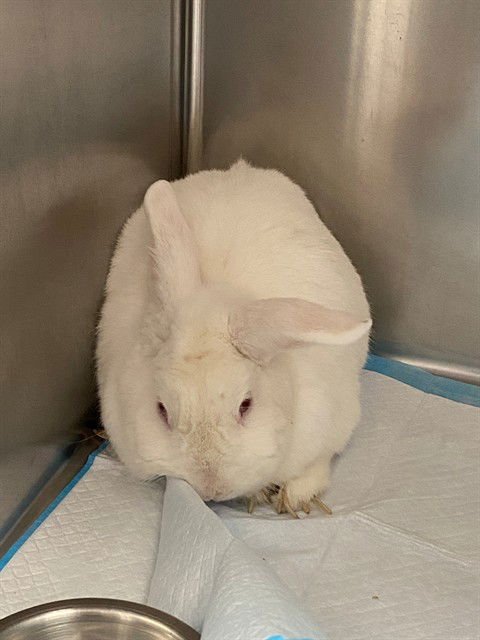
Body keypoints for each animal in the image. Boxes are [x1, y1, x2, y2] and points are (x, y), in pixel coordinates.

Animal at [96, 159, 371, 514]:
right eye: (161, 410)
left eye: (246, 405)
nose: (211, 489)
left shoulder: (331, 426)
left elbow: (317, 467)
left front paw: (293, 496)